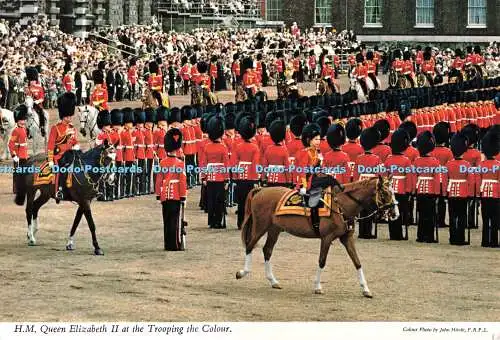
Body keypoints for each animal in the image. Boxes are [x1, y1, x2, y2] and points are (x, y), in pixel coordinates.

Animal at [235, 177, 398, 296]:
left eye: (393, 191)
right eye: (384, 193)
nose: (395, 214)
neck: (341, 205)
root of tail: (261, 190)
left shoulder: (347, 238)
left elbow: (357, 262)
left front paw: (365, 289)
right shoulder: (326, 238)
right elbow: (322, 261)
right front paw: (318, 287)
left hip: (274, 229)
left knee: (267, 250)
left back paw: (273, 281)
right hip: (260, 227)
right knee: (250, 246)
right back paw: (242, 273)